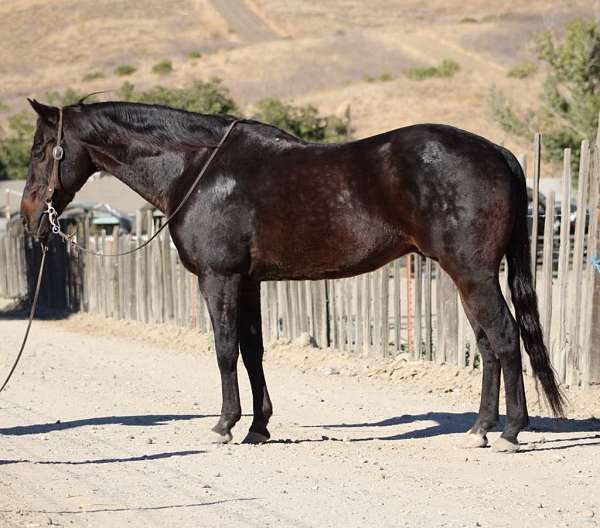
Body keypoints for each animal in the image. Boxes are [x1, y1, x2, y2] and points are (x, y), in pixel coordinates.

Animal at [19, 101, 564, 452]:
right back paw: (480, 428)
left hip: (473, 274)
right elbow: (253, 351)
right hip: (465, 277)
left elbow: (225, 350)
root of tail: (498, 152)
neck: (199, 169)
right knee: (488, 345)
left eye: (41, 150)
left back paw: (510, 432)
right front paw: (258, 427)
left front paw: (224, 425)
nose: (28, 219)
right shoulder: (248, 282)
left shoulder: (219, 278)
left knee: (504, 337)